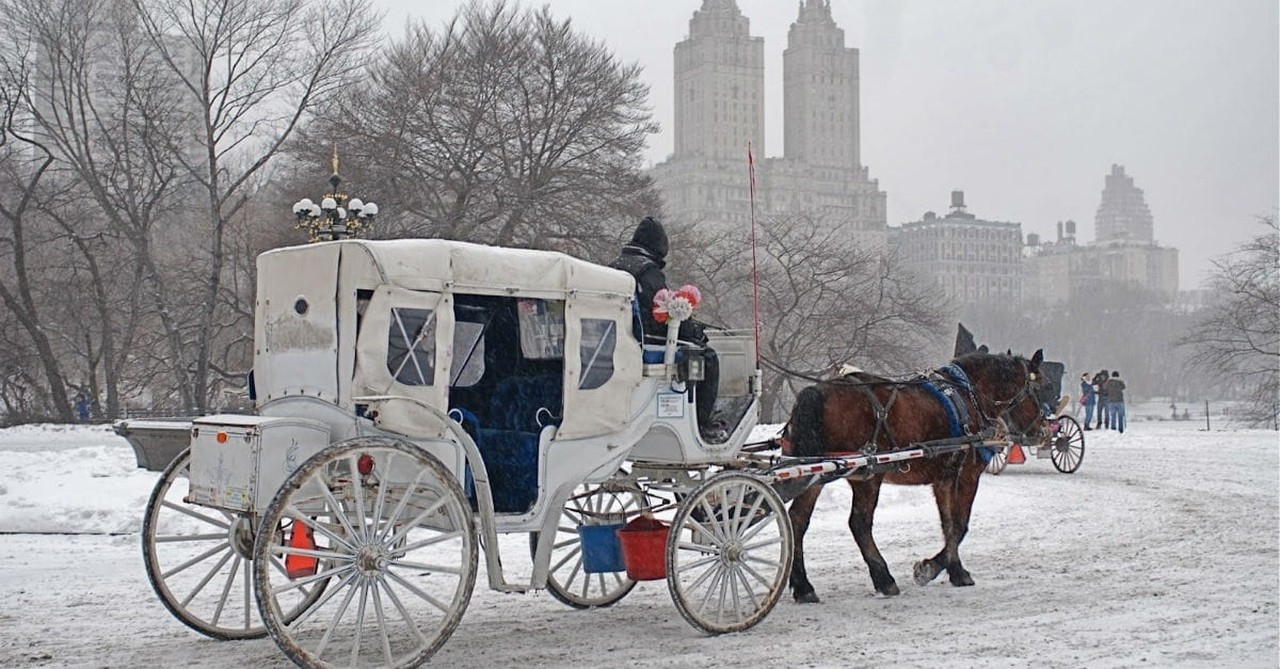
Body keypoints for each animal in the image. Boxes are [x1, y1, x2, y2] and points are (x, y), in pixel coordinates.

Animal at [783, 350, 1044, 601]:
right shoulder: (968, 475)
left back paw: (803, 586)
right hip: (867, 477)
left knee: (797, 521)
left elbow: (948, 525)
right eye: (1041, 387)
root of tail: (818, 391)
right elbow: (961, 524)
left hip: (817, 474)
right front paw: (934, 569)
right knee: (859, 524)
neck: (969, 395)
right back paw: (884, 579)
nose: (1041, 429)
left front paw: (953, 569)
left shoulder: (944, 479)